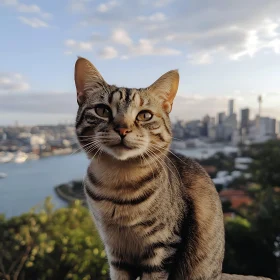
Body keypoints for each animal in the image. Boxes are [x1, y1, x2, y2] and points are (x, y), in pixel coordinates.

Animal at [74, 57, 225, 280]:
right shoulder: (115, 249)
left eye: (145, 115)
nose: (122, 128)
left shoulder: (164, 246)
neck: (118, 182)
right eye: (102, 110)